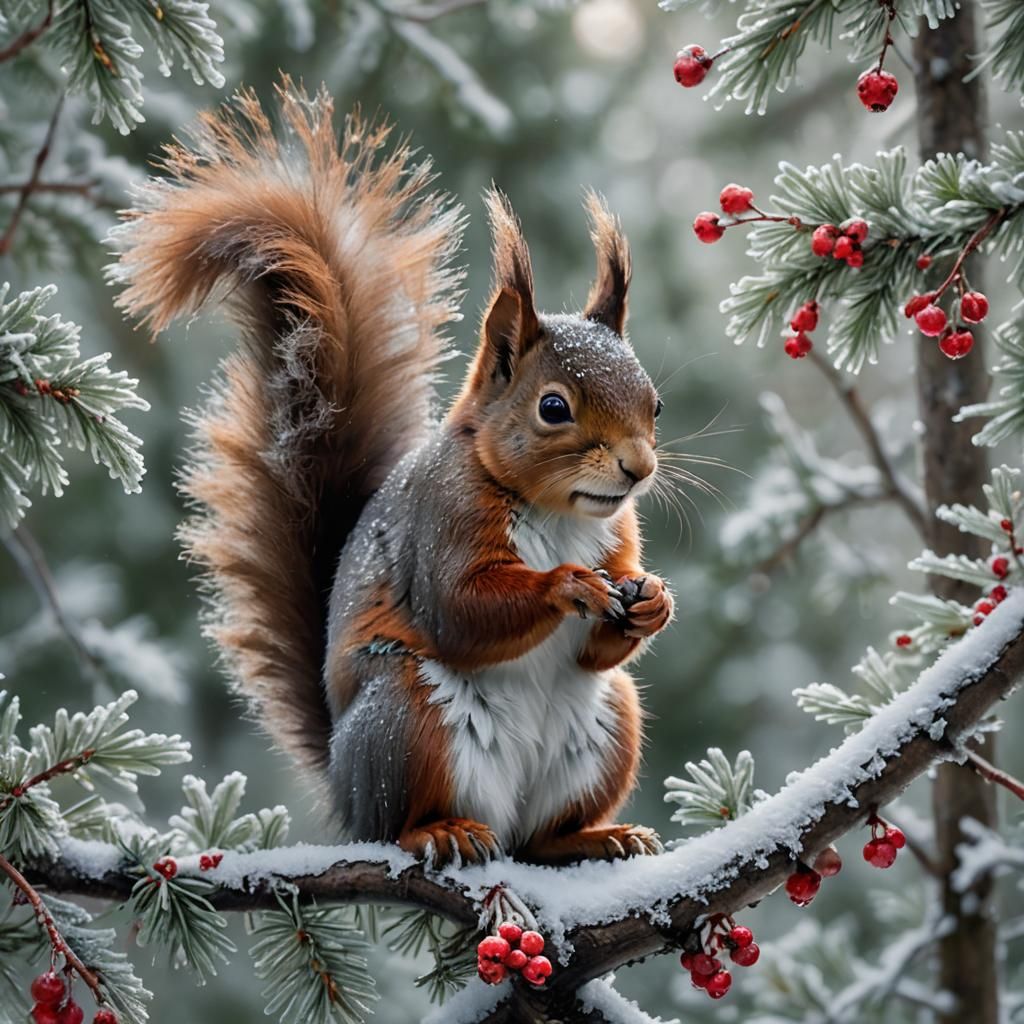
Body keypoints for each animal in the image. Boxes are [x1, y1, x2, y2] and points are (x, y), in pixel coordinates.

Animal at [110, 79, 674, 867]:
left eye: (656, 404)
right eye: (553, 407)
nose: (637, 468)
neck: (560, 512)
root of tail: (344, 788)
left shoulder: (617, 537)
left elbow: (601, 638)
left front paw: (653, 601)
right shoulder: (443, 518)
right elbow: (458, 609)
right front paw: (565, 585)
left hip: (609, 719)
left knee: (542, 836)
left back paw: (597, 836)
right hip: (408, 715)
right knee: (404, 818)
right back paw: (439, 830)